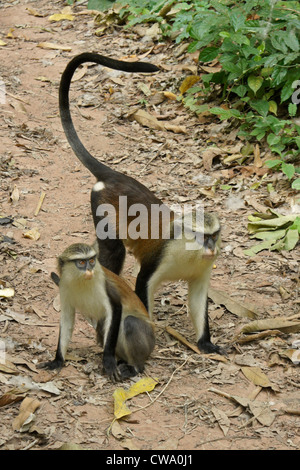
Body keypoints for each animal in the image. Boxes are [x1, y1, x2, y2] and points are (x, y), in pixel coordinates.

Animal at [39, 242, 156, 382]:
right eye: (81, 262)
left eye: (91, 261)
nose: (90, 270)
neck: (80, 281)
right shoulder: (64, 287)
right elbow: (67, 319)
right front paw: (57, 361)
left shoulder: (105, 285)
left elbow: (116, 308)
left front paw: (108, 361)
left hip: (148, 340)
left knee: (130, 322)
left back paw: (135, 368)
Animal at [59, 52, 223, 352]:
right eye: (201, 236)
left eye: (213, 236)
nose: (209, 247)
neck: (189, 252)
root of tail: (113, 175)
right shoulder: (160, 258)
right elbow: (142, 284)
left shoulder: (204, 267)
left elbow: (197, 298)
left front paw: (206, 343)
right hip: (101, 204)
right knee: (113, 251)